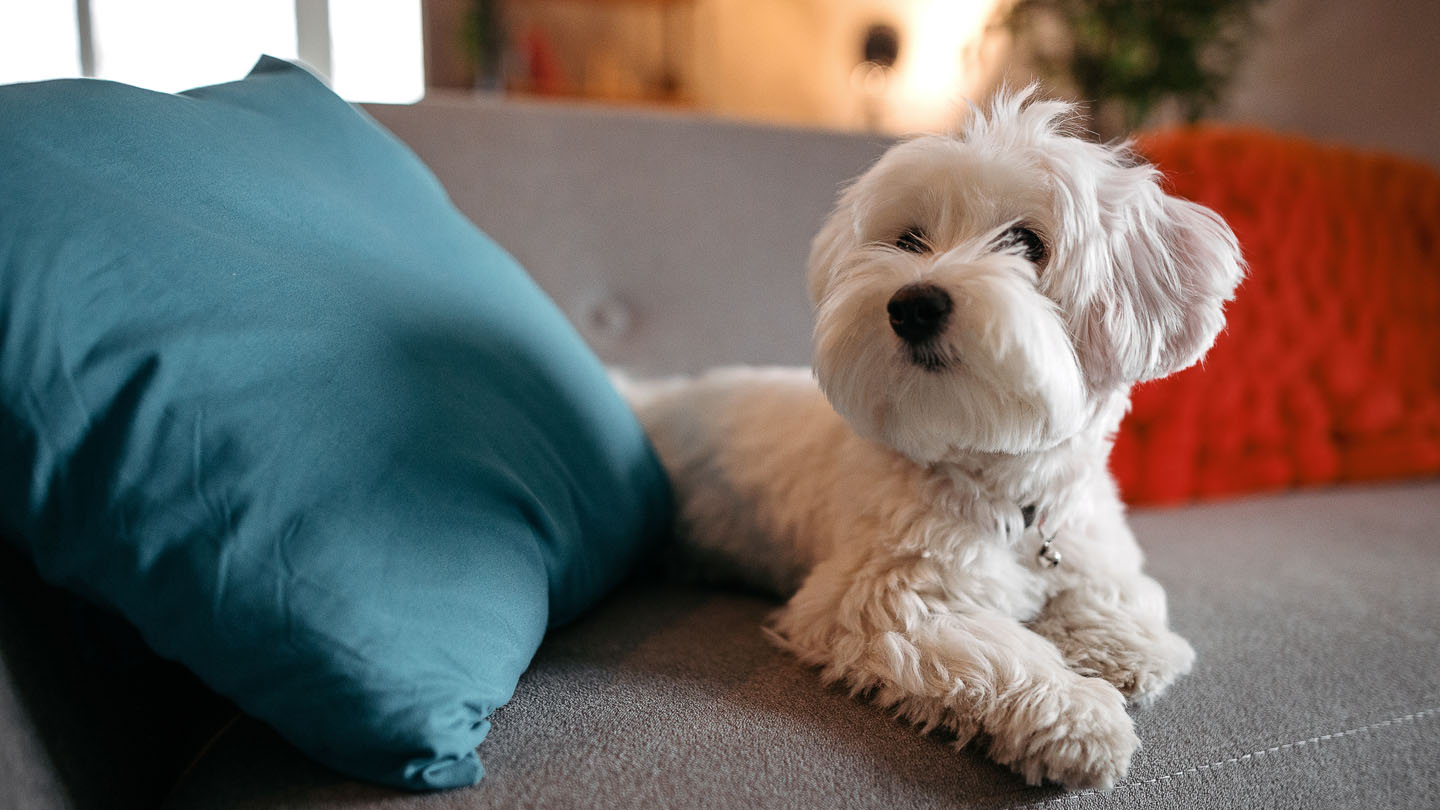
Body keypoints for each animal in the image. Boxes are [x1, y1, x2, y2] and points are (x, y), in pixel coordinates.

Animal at [624, 89, 1244, 789]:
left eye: (1027, 242)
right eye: (909, 240)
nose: (913, 304)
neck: (1007, 491)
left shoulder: (1087, 536)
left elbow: (1113, 589)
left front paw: (1123, 644)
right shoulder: (882, 601)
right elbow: (1001, 654)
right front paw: (1077, 716)